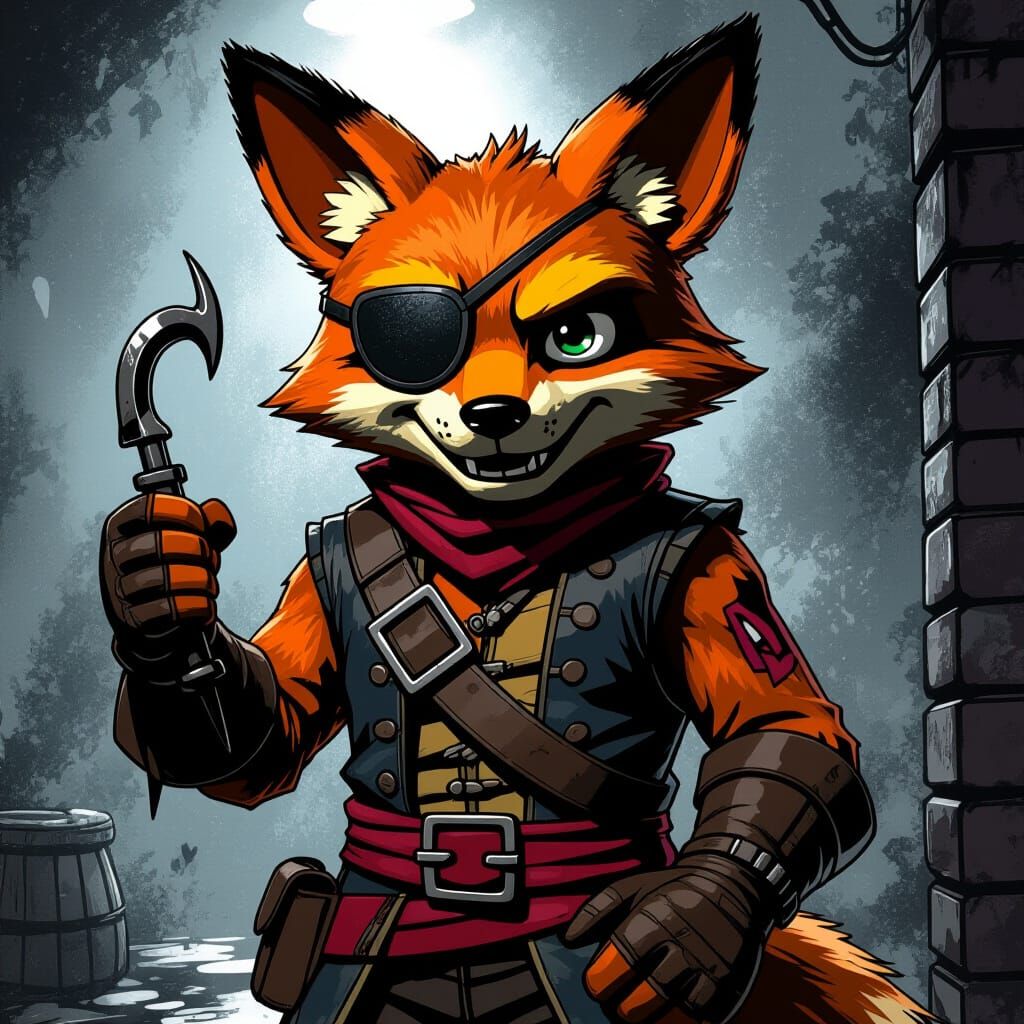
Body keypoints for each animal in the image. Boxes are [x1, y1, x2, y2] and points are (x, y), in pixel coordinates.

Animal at [101, 13, 932, 1024]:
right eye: (412, 339)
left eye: (576, 336)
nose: (493, 413)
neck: (491, 538)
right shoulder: (321, 566)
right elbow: (264, 741)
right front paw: (154, 581)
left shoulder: (712, 564)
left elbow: (789, 732)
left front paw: (686, 925)